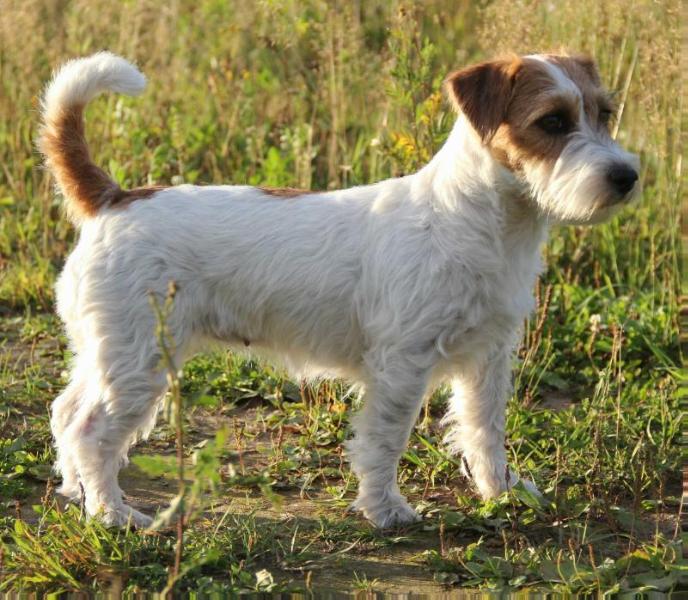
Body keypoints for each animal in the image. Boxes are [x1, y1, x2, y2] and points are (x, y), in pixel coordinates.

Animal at [39, 52, 640, 528]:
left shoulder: (487, 359)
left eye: (604, 113)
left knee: (66, 414)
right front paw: (384, 509)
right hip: (139, 363)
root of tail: (114, 198)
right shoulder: (402, 365)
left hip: (107, 354)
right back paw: (111, 512)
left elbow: (484, 432)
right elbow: (385, 441)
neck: (481, 222)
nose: (626, 176)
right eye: (553, 121)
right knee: (92, 431)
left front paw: (502, 493)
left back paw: (75, 492)